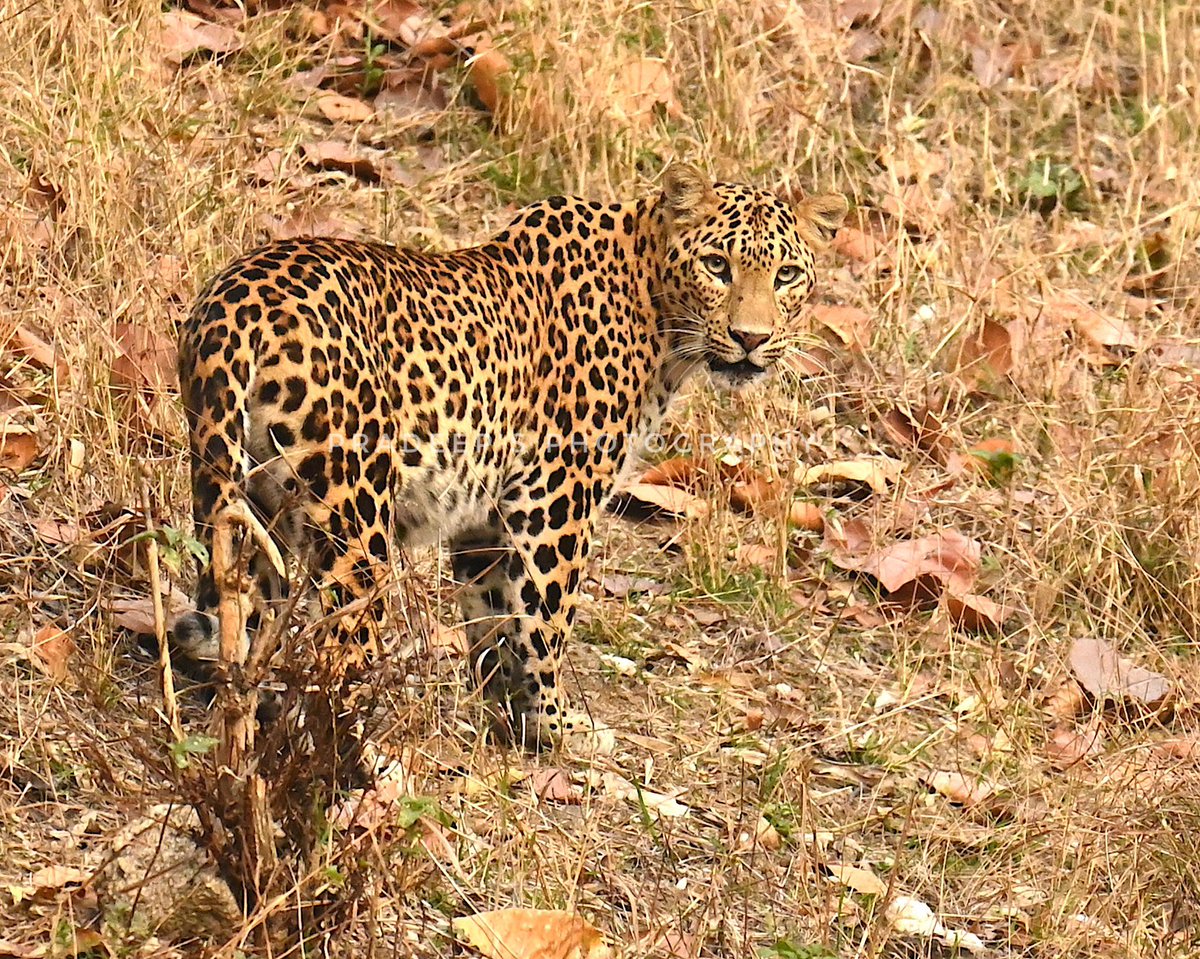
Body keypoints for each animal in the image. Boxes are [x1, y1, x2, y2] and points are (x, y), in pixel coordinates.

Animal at [171, 163, 844, 748]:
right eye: (716, 265)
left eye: (786, 275)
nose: (751, 338)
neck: (657, 312)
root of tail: (236, 302)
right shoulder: (555, 498)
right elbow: (546, 618)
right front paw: (557, 725)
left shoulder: (485, 519)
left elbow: (493, 615)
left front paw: (503, 712)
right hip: (354, 515)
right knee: (337, 640)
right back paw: (344, 748)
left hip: (244, 494)